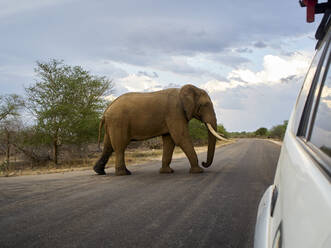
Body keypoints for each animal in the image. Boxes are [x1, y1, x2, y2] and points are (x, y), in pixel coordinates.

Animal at [94, 84, 227, 175]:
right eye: (205, 105)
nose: (204, 163)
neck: (183, 91)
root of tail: (106, 110)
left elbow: (169, 141)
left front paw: (167, 172)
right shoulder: (175, 112)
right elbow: (181, 137)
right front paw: (198, 171)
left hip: (112, 123)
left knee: (108, 146)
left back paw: (100, 172)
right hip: (118, 122)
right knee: (120, 146)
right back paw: (123, 174)